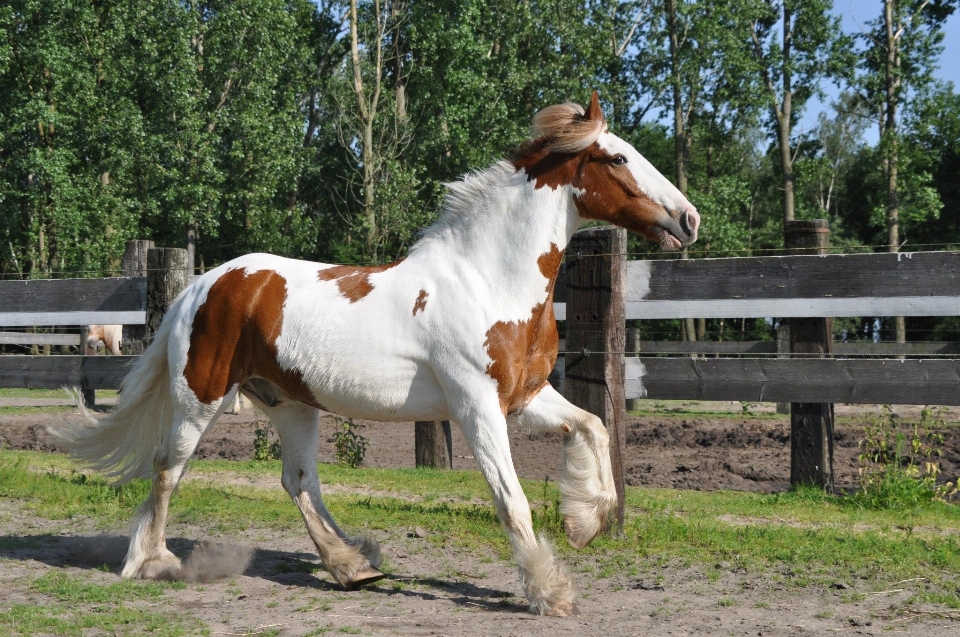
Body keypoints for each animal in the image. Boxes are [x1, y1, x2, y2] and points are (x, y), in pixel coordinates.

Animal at [52, 92, 696, 612]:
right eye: (618, 158)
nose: (688, 219)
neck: (487, 280)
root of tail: (202, 285)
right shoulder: (476, 407)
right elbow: (511, 499)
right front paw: (549, 590)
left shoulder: (525, 397)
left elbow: (594, 427)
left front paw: (585, 522)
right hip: (201, 396)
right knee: (168, 469)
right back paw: (152, 562)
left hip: (291, 403)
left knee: (298, 480)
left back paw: (353, 565)